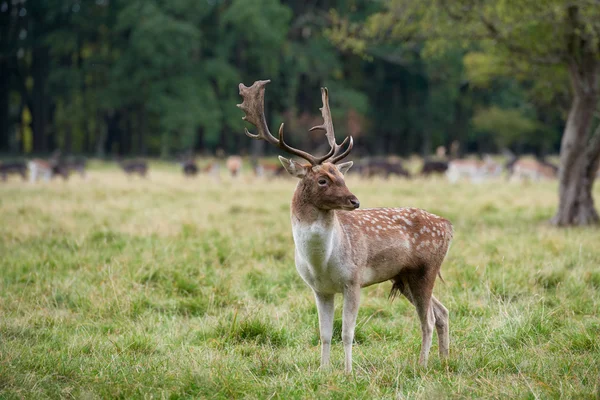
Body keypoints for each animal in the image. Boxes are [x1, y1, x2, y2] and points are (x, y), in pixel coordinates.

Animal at [237, 79, 452, 374]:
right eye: (323, 180)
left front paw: (348, 372)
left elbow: (347, 332)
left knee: (428, 319)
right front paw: (323, 370)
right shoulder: (319, 289)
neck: (321, 262)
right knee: (442, 312)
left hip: (426, 269)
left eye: (341, 175)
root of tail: (448, 225)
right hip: (404, 277)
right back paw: (444, 361)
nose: (355, 200)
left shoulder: (354, 279)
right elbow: (325, 333)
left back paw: (421, 365)